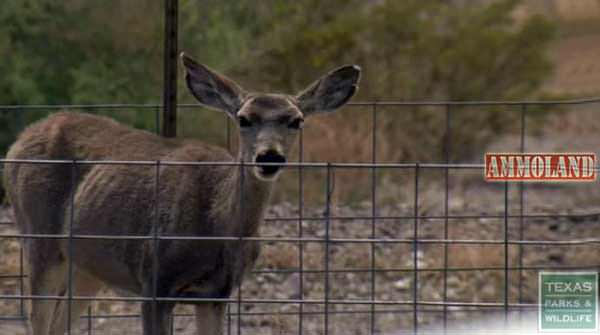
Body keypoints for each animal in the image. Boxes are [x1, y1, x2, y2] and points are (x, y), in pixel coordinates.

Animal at [2, 53, 360, 335]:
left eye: (296, 120)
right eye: (243, 119)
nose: (269, 156)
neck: (217, 228)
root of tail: (19, 140)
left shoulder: (216, 294)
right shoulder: (155, 282)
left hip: (88, 265)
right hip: (40, 237)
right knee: (38, 319)